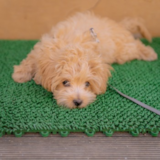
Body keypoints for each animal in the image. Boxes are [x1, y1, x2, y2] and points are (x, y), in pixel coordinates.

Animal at [12, 11, 158, 108]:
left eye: (87, 84)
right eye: (65, 82)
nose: (78, 102)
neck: (71, 45)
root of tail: (119, 25)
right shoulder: (41, 50)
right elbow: (30, 60)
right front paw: (20, 74)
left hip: (122, 51)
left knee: (136, 45)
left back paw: (149, 53)